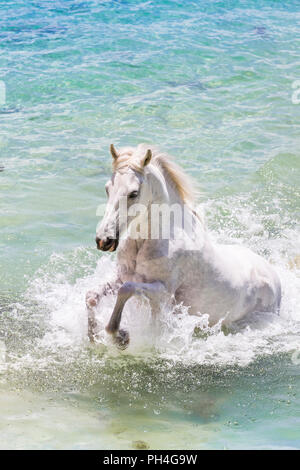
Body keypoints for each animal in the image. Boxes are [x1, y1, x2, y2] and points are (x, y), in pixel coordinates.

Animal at [86, 145, 282, 346]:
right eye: (107, 189)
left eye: (134, 193)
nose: (104, 240)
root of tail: (275, 276)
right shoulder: (121, 278)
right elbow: (91, 296)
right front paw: (93, 335)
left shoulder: (162, 292)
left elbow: (125, 290)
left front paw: (119, 336)